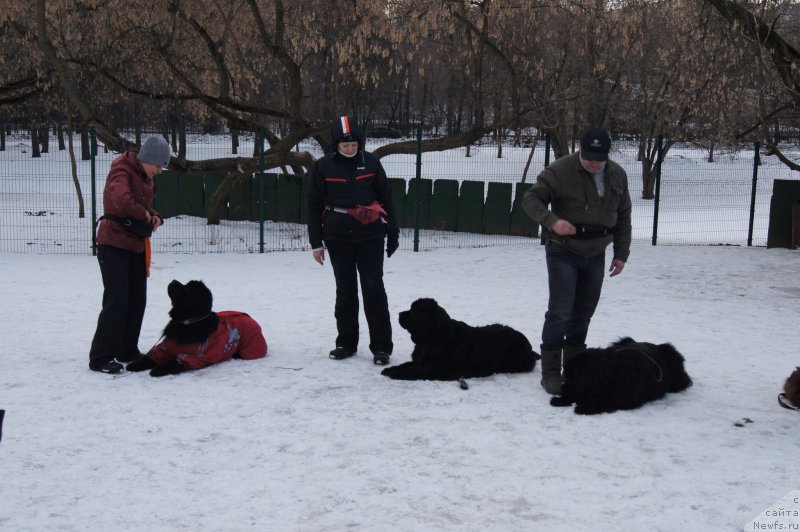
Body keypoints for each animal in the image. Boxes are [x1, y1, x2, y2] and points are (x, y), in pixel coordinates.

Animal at [380, 300, 536, 382]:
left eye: (419, 311)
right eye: (411, 307)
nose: (400, 314)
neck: (431, 338)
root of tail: (530, 349)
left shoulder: (435, 368)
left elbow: (413, 370)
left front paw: (396, 373)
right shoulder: (420, 359)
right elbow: (406, 364)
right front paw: (391, 369)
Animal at [552, 336, 692, 416]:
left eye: (571, 379)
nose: (561, 389)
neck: (612, 373)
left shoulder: (623, 398)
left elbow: (605, 401)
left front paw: (585, 407)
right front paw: (561, 400)